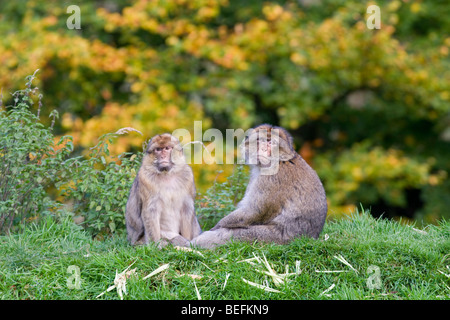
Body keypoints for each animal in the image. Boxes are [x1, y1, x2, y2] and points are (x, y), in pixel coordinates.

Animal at [190, 124, 326, 249]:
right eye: (261, 140)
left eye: (271, 142)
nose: (264, 149)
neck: (280, 161)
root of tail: (312, 236)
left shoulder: (272, 178)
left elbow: (254, 211)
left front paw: (216, 227)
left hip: (274, 238)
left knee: (229, 235)